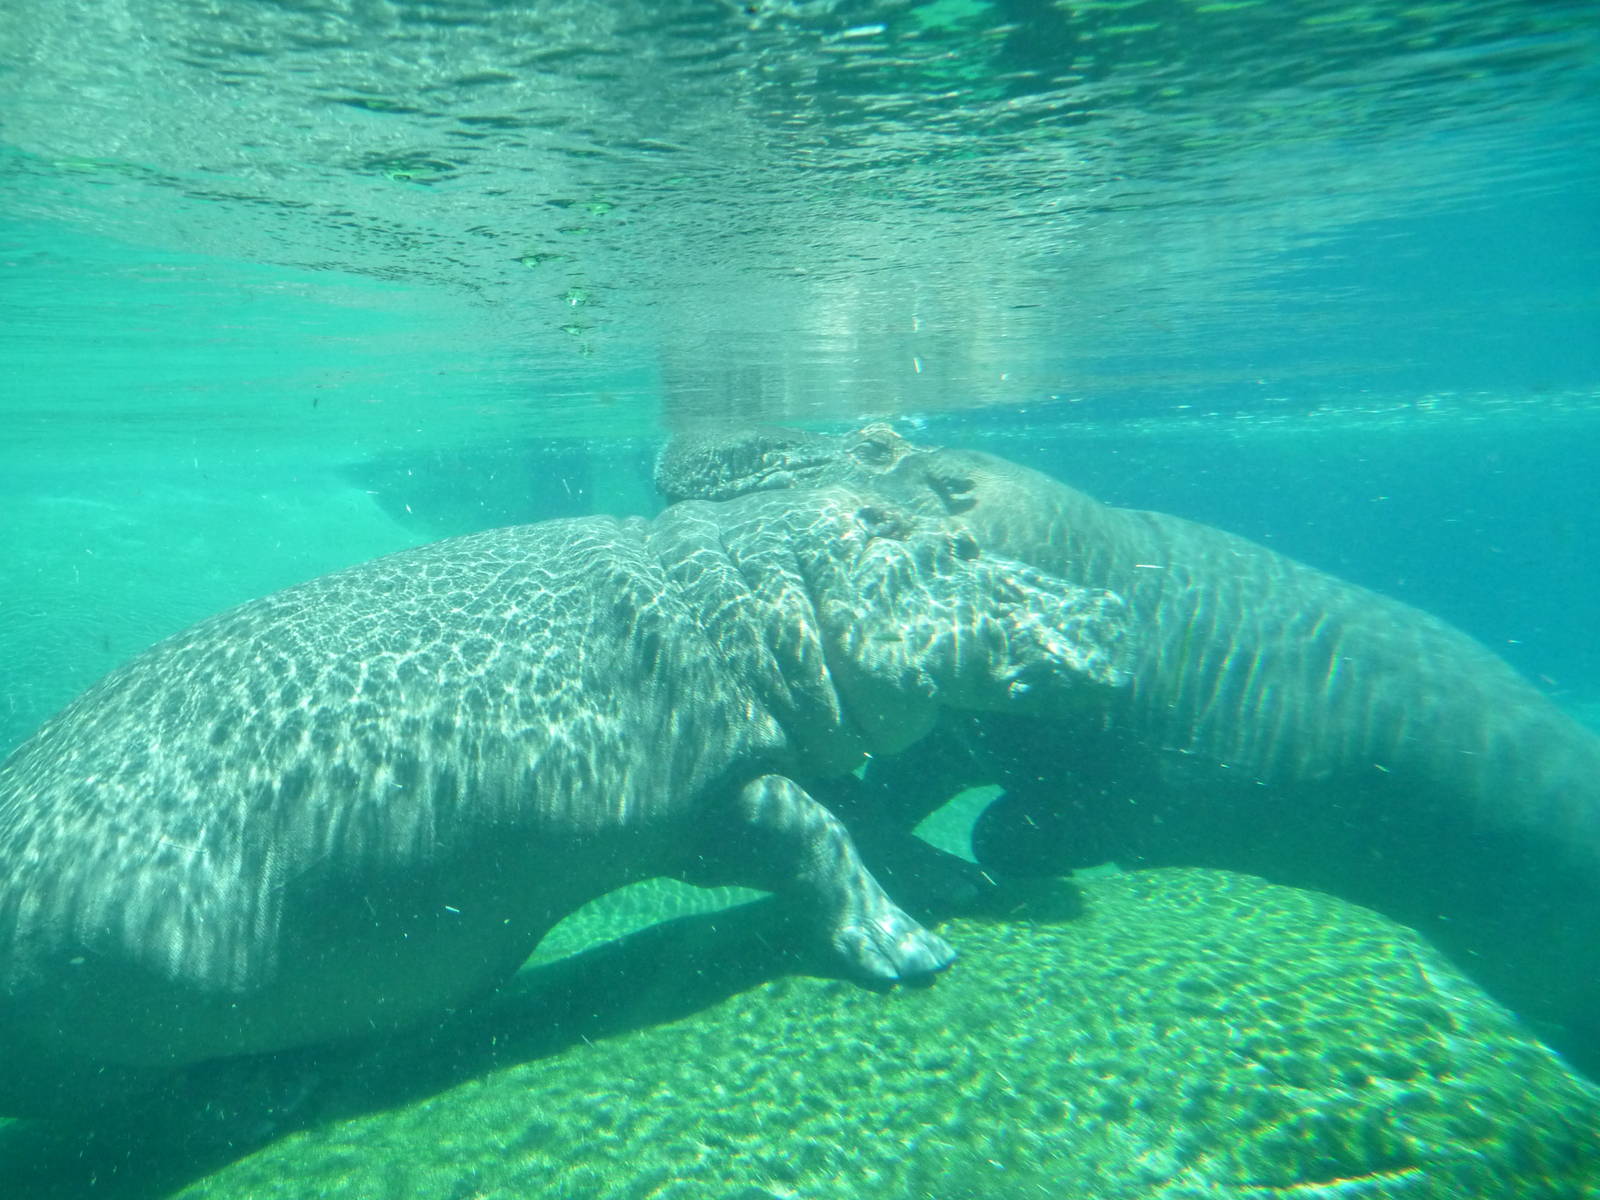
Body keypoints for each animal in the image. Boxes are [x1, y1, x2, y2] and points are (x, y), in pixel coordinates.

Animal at [0, 486, 1128, 1117]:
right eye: (964, 549)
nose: (1115, 601)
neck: (765, 585)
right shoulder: (710, 800)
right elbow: (822, 835)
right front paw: (911, 952)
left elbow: (870, 819)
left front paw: (957, 880)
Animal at [656, 424, 1600, 1069]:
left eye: (879, 442)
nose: (707, 431)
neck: (1109, 566)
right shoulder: (970, 730)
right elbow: (903, 783)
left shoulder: (1153, 794)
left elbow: (1009, 827)